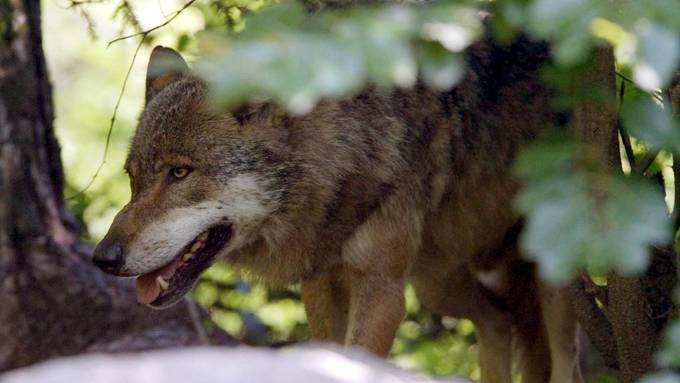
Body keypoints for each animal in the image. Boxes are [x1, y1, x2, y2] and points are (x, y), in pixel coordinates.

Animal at [93, 30, 584, 383]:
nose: (102, 258)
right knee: (498, 322)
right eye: (133, 178)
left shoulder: (382, 290)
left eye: (180, 173)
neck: (342, 155)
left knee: (564, 358)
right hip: (437, 285)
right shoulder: (322, 282)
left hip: (550, 282)